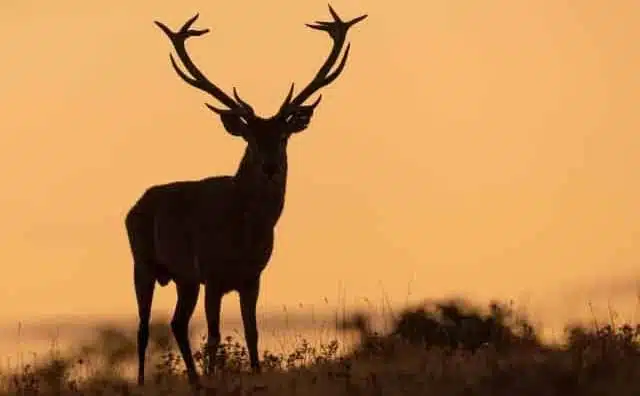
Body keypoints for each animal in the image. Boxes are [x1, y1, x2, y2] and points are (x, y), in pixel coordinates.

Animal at [125, 3, 364, 386]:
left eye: (283, 136)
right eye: (250, 138)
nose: (270, 166)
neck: (243, 232)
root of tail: (134, 206)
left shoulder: (252, 277)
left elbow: (252, 333)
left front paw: (252, 373)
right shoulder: (211, 272)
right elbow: (213, 336)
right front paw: (214, 377)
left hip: (184, 278)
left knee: (176, 323)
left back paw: (193, 380)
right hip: (142, 262)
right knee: (144, 328)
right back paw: (144, 382)